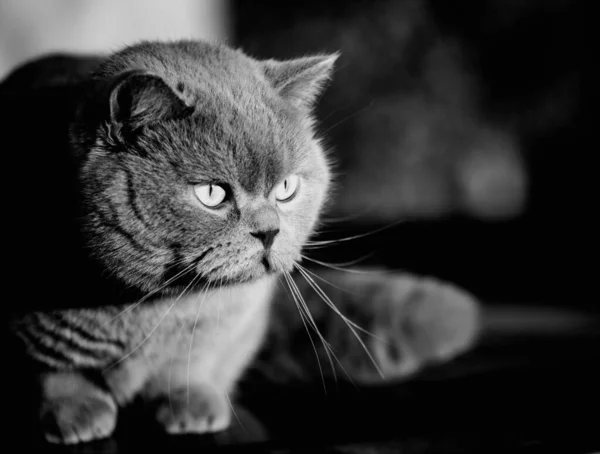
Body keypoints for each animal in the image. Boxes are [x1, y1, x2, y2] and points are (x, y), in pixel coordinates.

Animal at [0, 39, 478, 444]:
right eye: (212, 194)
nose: (269, 231)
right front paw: (74, 411)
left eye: (285, 188)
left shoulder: (234, 317)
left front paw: (190, 402)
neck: (154, 307)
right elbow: (52, 367)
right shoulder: (33, 328)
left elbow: (194, 360)